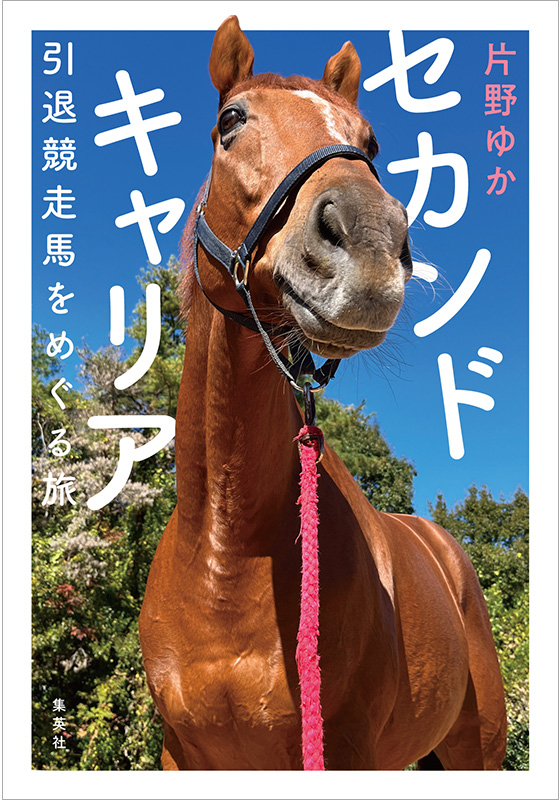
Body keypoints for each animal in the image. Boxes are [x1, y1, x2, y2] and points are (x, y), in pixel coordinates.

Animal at [139, 16, 507, 771]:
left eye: (369, 144)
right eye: (231, 121)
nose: (370, 244)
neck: (226, 556)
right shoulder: (182, 754)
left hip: (476, 746)